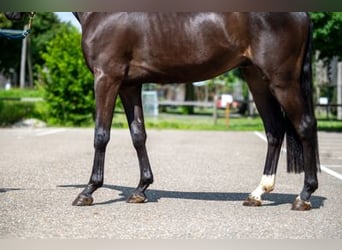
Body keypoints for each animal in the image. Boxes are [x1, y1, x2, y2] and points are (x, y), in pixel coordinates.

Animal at [6, 12, 320, 211]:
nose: (9, 14)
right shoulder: (129, 85)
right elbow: (138, 135)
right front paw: (140, 190)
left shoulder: (106, 78)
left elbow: (101, 135)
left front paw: (88, 192)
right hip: (256, 78)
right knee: (274, 131)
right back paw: (257, 194)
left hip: (281, 80)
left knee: (305, 126)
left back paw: (303, 196)